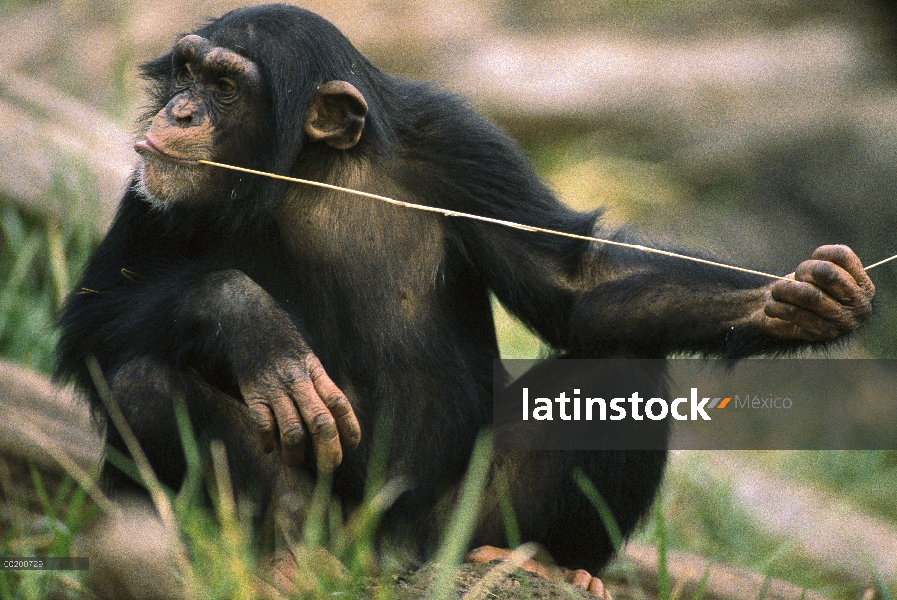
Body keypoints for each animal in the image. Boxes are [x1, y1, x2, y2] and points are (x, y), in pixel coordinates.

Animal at [54, 4, 868, 596]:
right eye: (188, 70)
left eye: (225, 87)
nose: (182, 112)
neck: (315, 166)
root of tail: (385, 557)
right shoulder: (152, 190)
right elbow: (95, 317)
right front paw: (246, 320)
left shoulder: (465, 146)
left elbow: (572, 287)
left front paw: (791, 304)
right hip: (338, 530)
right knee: (143, 383)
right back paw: (284, 556)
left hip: (455, 526)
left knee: (615, 373)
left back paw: (545, 563)